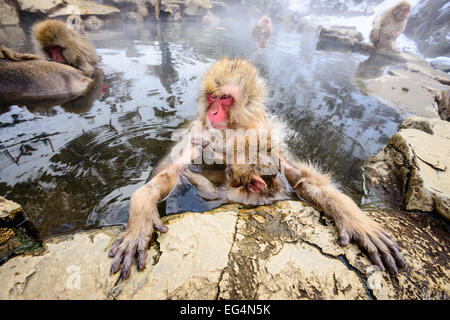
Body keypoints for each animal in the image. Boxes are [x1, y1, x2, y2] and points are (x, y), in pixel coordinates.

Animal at [110, 58, 408, 280]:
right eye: (212, 97)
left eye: (225, 99)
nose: (213, 113)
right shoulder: (197, 132)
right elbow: (168, 173)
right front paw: (140, 216)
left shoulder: (267, 135)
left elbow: (301, 179)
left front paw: (355, 219)